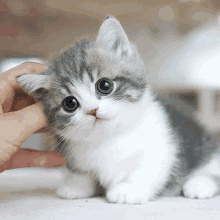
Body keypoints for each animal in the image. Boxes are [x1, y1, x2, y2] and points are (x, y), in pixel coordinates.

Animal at [15, 15, 220, 205]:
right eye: (70, 103)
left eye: (104, 85)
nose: (92, 110)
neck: (109, 137)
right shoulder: (75, 154)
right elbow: (81, 172)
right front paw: (75, 186)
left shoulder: (163, 144)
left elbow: (147, 169)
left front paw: (128, 190)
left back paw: (200, 184)